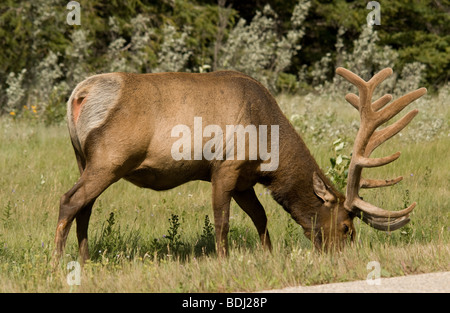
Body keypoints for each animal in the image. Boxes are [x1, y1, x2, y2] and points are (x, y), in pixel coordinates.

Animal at [51, 67, 426, 262]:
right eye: (346, 227)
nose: (344, 257)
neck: (268, 148)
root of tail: (78, 95)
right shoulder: (225, 166)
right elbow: (222, 221)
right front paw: (223, 258)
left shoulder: (246, 179)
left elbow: (260, 216)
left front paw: (268, 254)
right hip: (110, 158)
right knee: (70, 200)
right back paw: (57, 262)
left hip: (85, 159)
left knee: (85, 206)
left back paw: (84, 258)